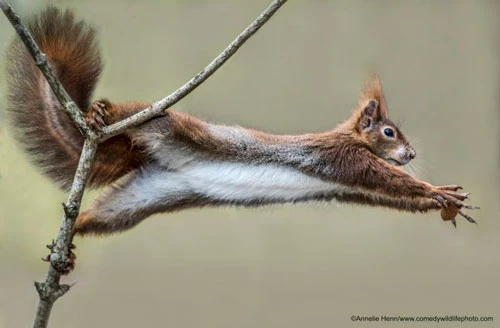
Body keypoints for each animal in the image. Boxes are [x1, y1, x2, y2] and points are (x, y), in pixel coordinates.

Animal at [6, 6, 476, 234]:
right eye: (389, 131)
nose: (411, 152)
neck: (351, 138)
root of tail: (147, 160)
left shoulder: (350, 186)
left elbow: (389, 196)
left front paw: (444, 201)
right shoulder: (342, 157)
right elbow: (387, 179)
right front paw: (436, 190)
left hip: (144, 200)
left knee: (102, 218)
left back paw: (71, 242)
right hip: (160, 124)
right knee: (134, 114)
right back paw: (100, 113)